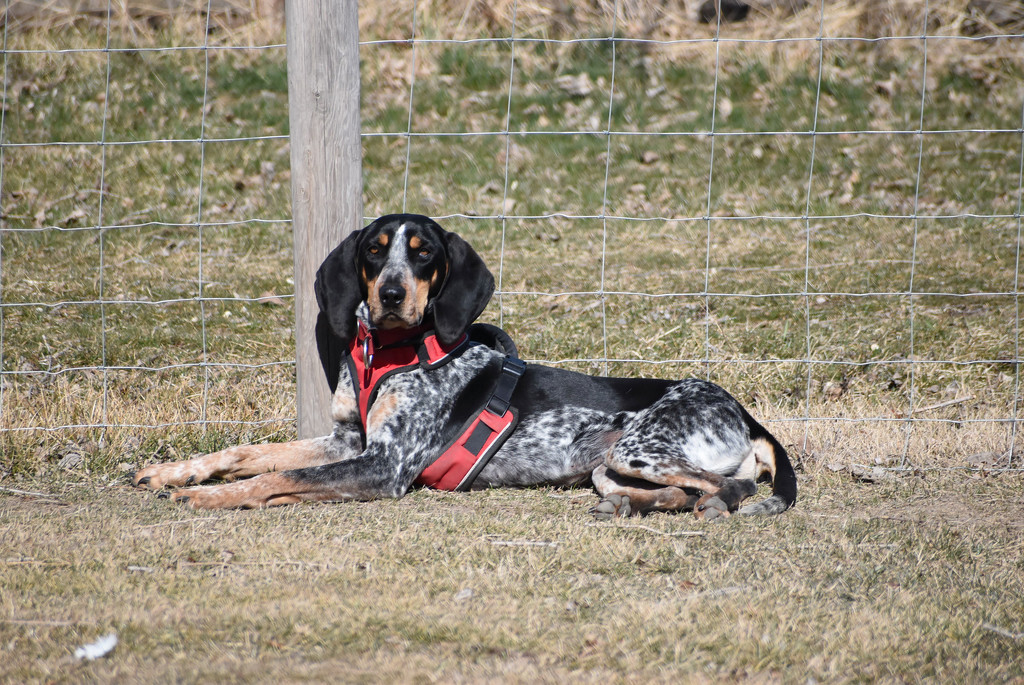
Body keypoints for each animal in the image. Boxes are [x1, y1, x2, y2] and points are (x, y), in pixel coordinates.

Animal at [132, 211, 794, 518]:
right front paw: (174, 472)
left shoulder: (384, 465)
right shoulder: (350, 441)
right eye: (374, 251)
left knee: (728, 486)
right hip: (608, 463)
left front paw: (214, 498)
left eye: (424, 254)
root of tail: (744, 412)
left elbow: (277, 477)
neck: (394, 353)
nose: (390, 294)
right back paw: (626, 507)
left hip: (639, 448)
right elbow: (249, 452)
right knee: (674, 490)